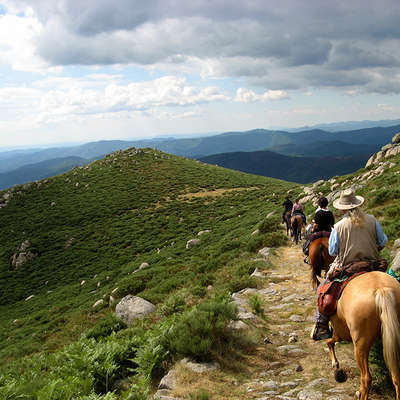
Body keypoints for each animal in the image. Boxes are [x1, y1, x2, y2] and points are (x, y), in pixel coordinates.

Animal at [324, 270, 400, 398]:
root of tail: (382, 289)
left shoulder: (340, 332)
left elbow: (329, 341)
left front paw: (336, 365)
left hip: (360, 346)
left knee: (366, 378)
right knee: (396, 377)